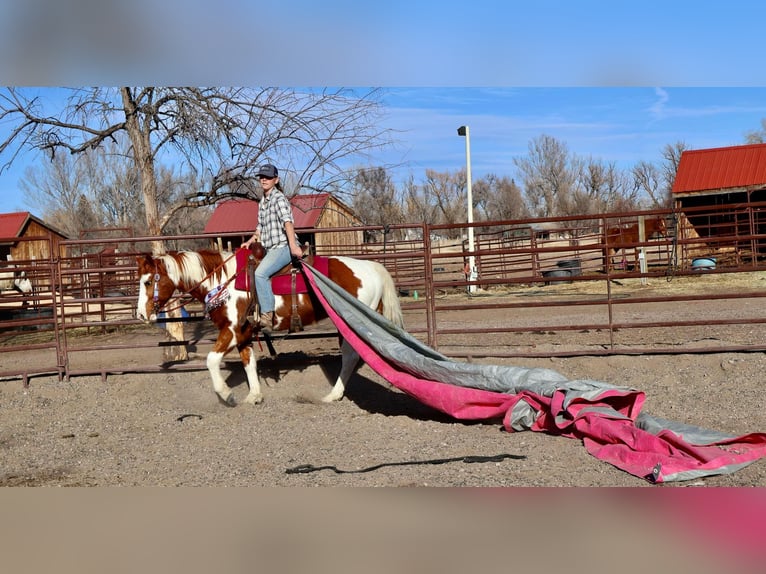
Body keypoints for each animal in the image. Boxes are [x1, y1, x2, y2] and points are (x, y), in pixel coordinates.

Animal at [135, 246, 404, 406]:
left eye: (148, 282)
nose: (140, 314)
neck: (224, 282)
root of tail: (372, 267)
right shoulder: (244, 334)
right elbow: (249, 362)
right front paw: (254, 395)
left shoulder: (232, 330)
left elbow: (211, 360)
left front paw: (226, 394)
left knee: (351, 356)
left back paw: (334, 394)